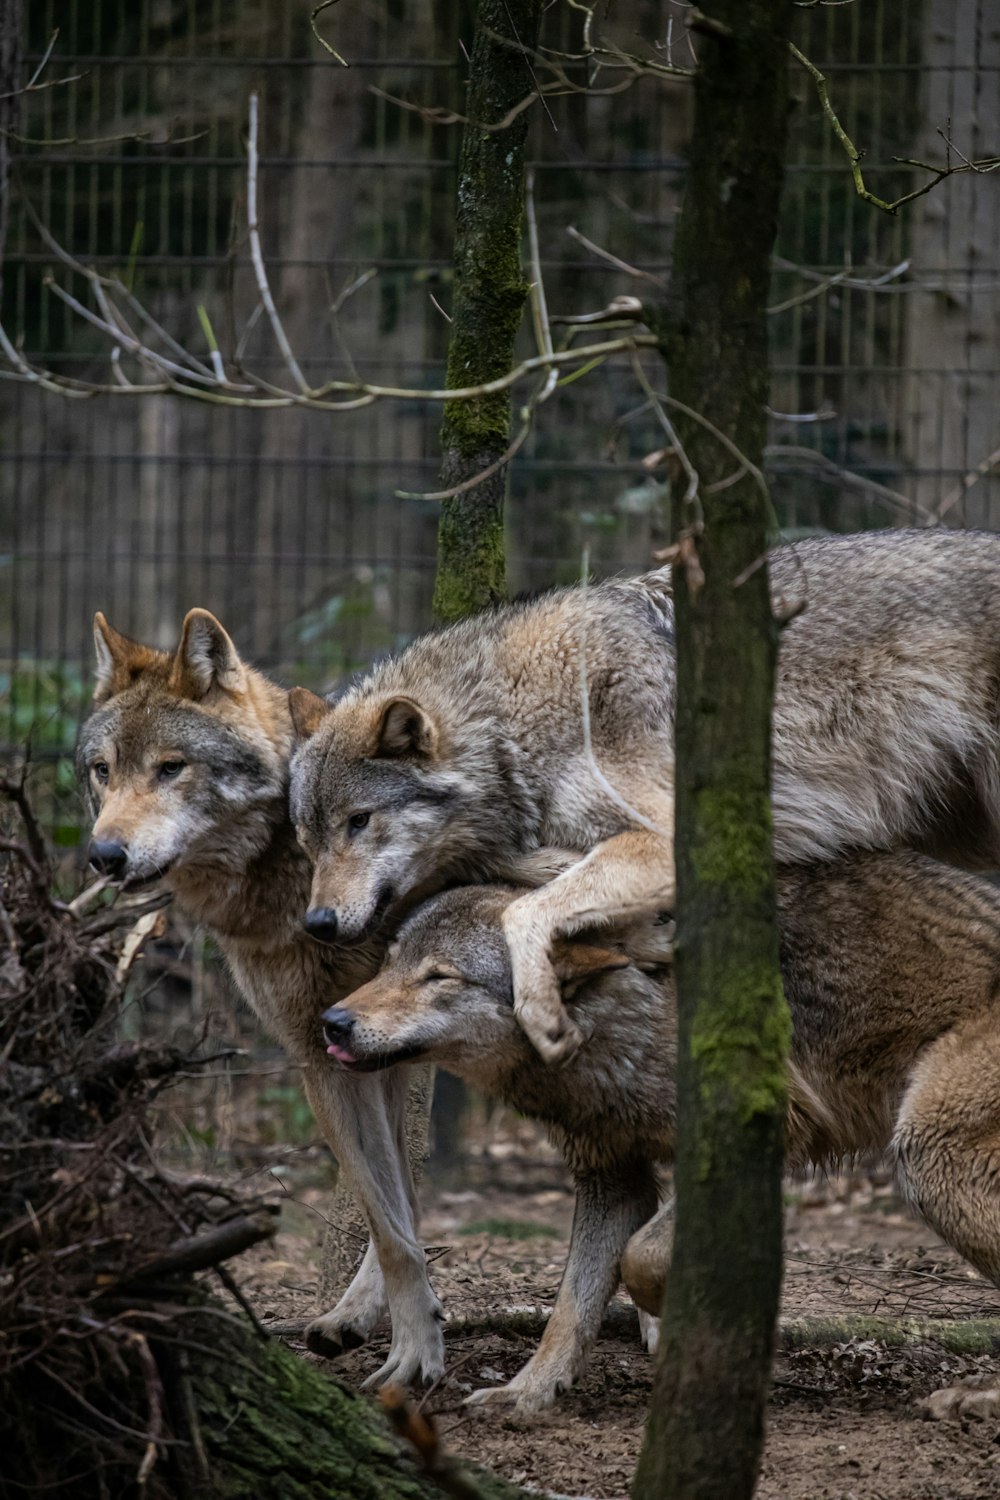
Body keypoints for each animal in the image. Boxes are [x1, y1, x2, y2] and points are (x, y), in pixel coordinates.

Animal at [80, 606, 446, 1380]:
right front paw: (410, 1336)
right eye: (104, 771)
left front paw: (412, 1354)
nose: (103, 856)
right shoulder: (325, 1049)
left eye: (170, 768)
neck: (284, 869)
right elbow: (388, 1218)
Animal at [287, 528, 1000, 1068]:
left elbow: (523, 912)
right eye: (308, 839)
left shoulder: (674, 838)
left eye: (359, 822)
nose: (316, 923)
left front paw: (544, 1015)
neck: (512, 723)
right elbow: (546, 892)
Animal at [322, 864, 1000, 1410]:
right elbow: (570, 1309)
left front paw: (675, 1312)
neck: (620, 1021)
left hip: (927, 1161)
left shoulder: (762, 1136)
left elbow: (640, 1258)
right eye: (389, 965)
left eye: (440, 977)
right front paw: (527, 1394)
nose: (333, 1021)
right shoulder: (611, 1178)